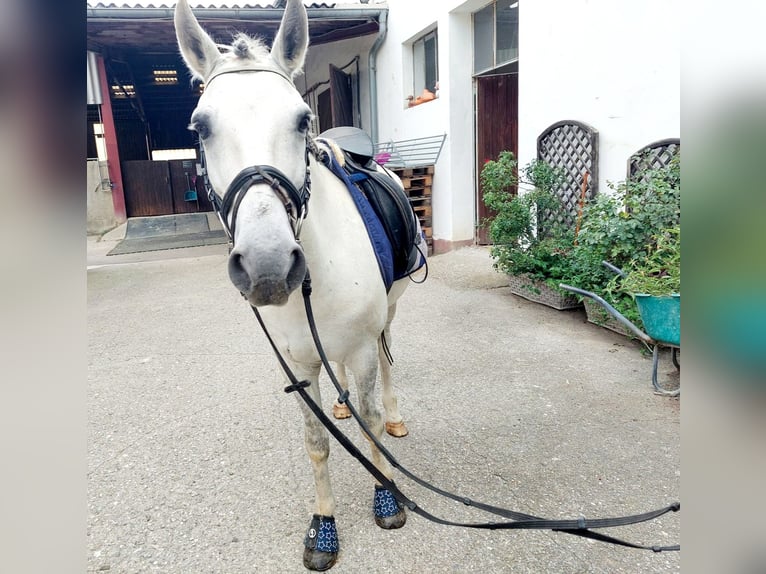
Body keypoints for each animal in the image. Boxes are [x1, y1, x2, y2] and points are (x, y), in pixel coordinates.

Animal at [176, 0, 420, 568]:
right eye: (200, 127)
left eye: (302, 120)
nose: (267, 266)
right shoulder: (299, 363)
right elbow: (316, 441)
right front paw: (324, 524)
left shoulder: (361, 347)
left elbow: (372, 421)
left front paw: (387, 497)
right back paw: (341, 403)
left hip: (389, 314)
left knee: (387, 358)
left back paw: (393, 413)